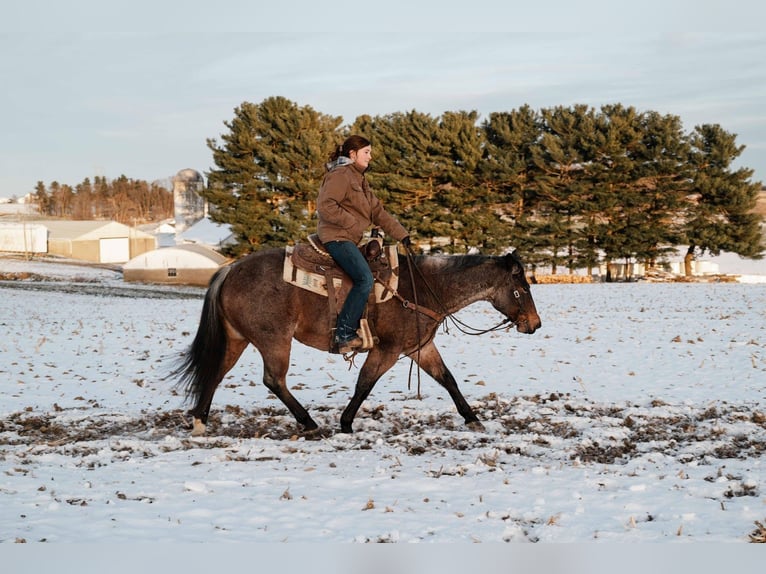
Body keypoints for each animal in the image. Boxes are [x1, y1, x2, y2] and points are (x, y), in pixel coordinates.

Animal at [175, 247, 541, 436]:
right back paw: (309, 422)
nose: (535, 325)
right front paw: (346, 423)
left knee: (216, 373)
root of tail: (230, 270)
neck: (423, 287)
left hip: (237, 339)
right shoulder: (388, 350)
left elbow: (448, 379)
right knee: (273, 380)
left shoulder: (419, 348)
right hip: (274, 339)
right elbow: (365, 384)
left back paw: (200, 421)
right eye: (520, 289)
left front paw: (472, 418)